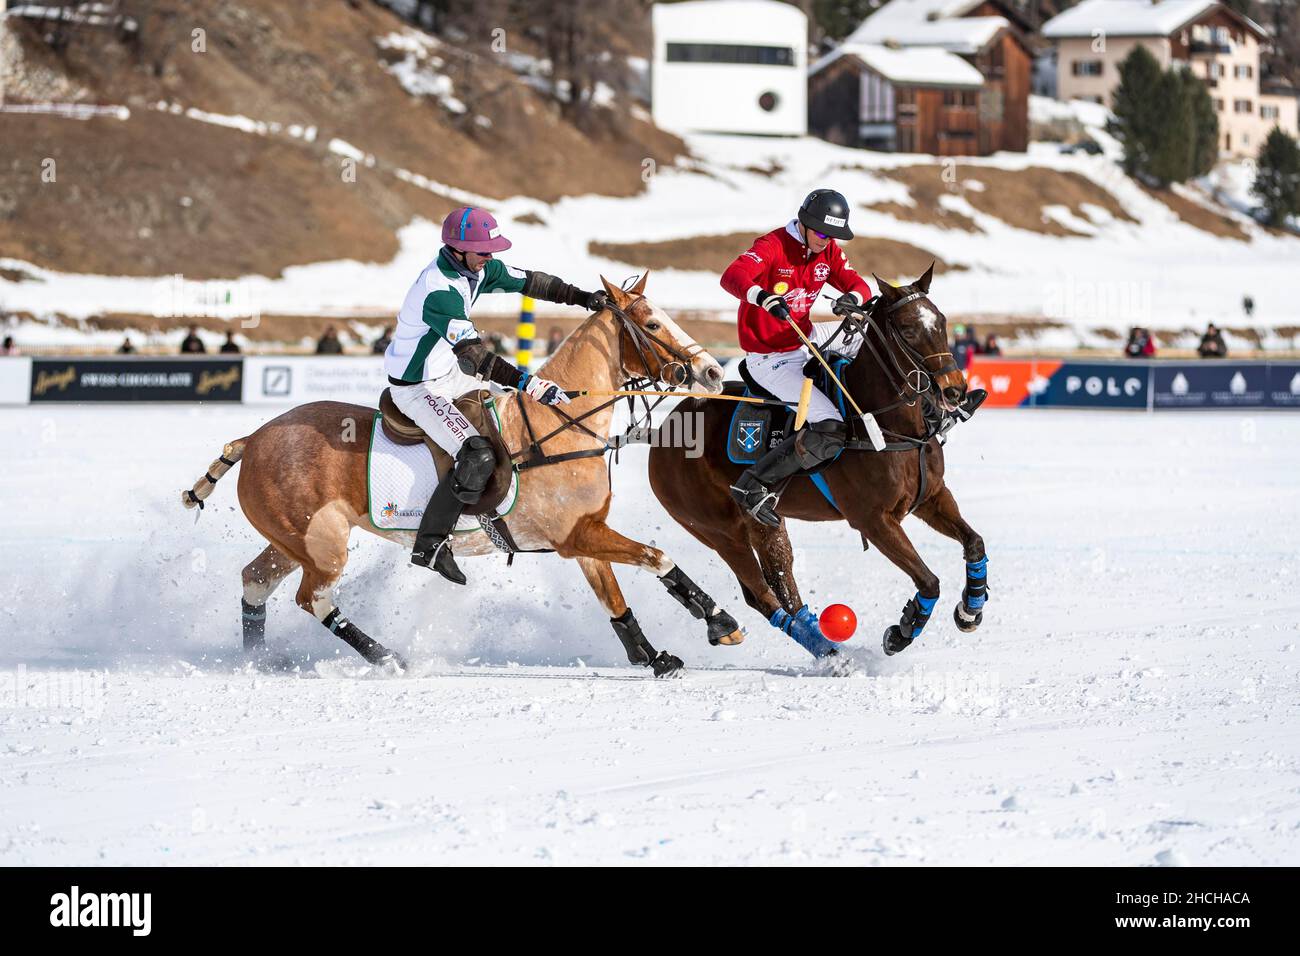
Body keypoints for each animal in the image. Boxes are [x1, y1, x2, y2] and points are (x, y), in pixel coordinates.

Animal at [187, 277, 748, 676]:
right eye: (652, 325)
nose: (714, 372)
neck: (559, 427)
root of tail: (254, 438)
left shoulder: (582, 536)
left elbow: (616, 600)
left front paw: (660, 655)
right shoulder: (577, 535)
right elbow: (658, 556)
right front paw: (720, 622)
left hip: (292, 539)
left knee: (255, 582)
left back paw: (257, 661)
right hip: (323, 543)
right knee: (315, 599)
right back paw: (388, 657)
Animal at [644, 265, 987, 660]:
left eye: (941, 321)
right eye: (908, 329)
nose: (955, 390)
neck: (889, 424)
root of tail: (663, 431)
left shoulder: (932, 497)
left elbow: (974, 543)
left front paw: (970, 610)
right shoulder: (873, 520)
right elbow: (929, 581)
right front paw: (902, 631)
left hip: (765, 524)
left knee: (783, 587)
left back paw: (823, 643)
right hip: (717, 529)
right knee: (762, 595)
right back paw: (828, 652)